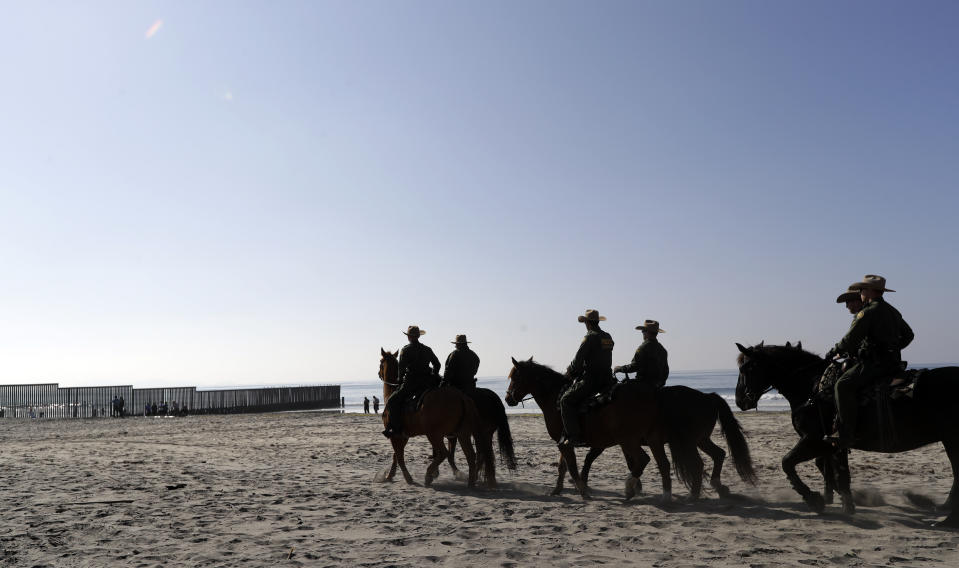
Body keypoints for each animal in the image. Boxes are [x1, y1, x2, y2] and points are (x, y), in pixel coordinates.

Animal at [378, 348, 492, 486]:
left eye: (381, 362)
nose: (378, 373)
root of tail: (461, 397)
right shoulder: (403, 435)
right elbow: (396, 455)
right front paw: (390, 474)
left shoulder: (395, 435)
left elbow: (399, 456)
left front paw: (406, 478)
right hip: (462, 433)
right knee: (470, 455)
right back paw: (470, 482)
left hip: (434, 434)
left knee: (444, 453)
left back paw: (429, 475)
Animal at [506, 358, 716, 500]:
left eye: (515, 377)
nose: (508, 398)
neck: (557, 398)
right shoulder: (566, 442)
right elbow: (563, 467)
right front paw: (557, 490)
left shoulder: (567, 443)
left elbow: (572, 467)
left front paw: (583, 492)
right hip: (650, 440)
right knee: (661, 463)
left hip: (630, 440)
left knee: (645, 460)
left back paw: (631, 489)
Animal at [740, 338, 959, 528]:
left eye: (746, 368)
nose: (741, 400)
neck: (812, 388)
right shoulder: (835, 445)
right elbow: (839, 472)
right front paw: (848, 502)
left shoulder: (815, 440)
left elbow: (788, 462)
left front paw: (815, 500)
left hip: (952, 440)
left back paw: (946, 519)